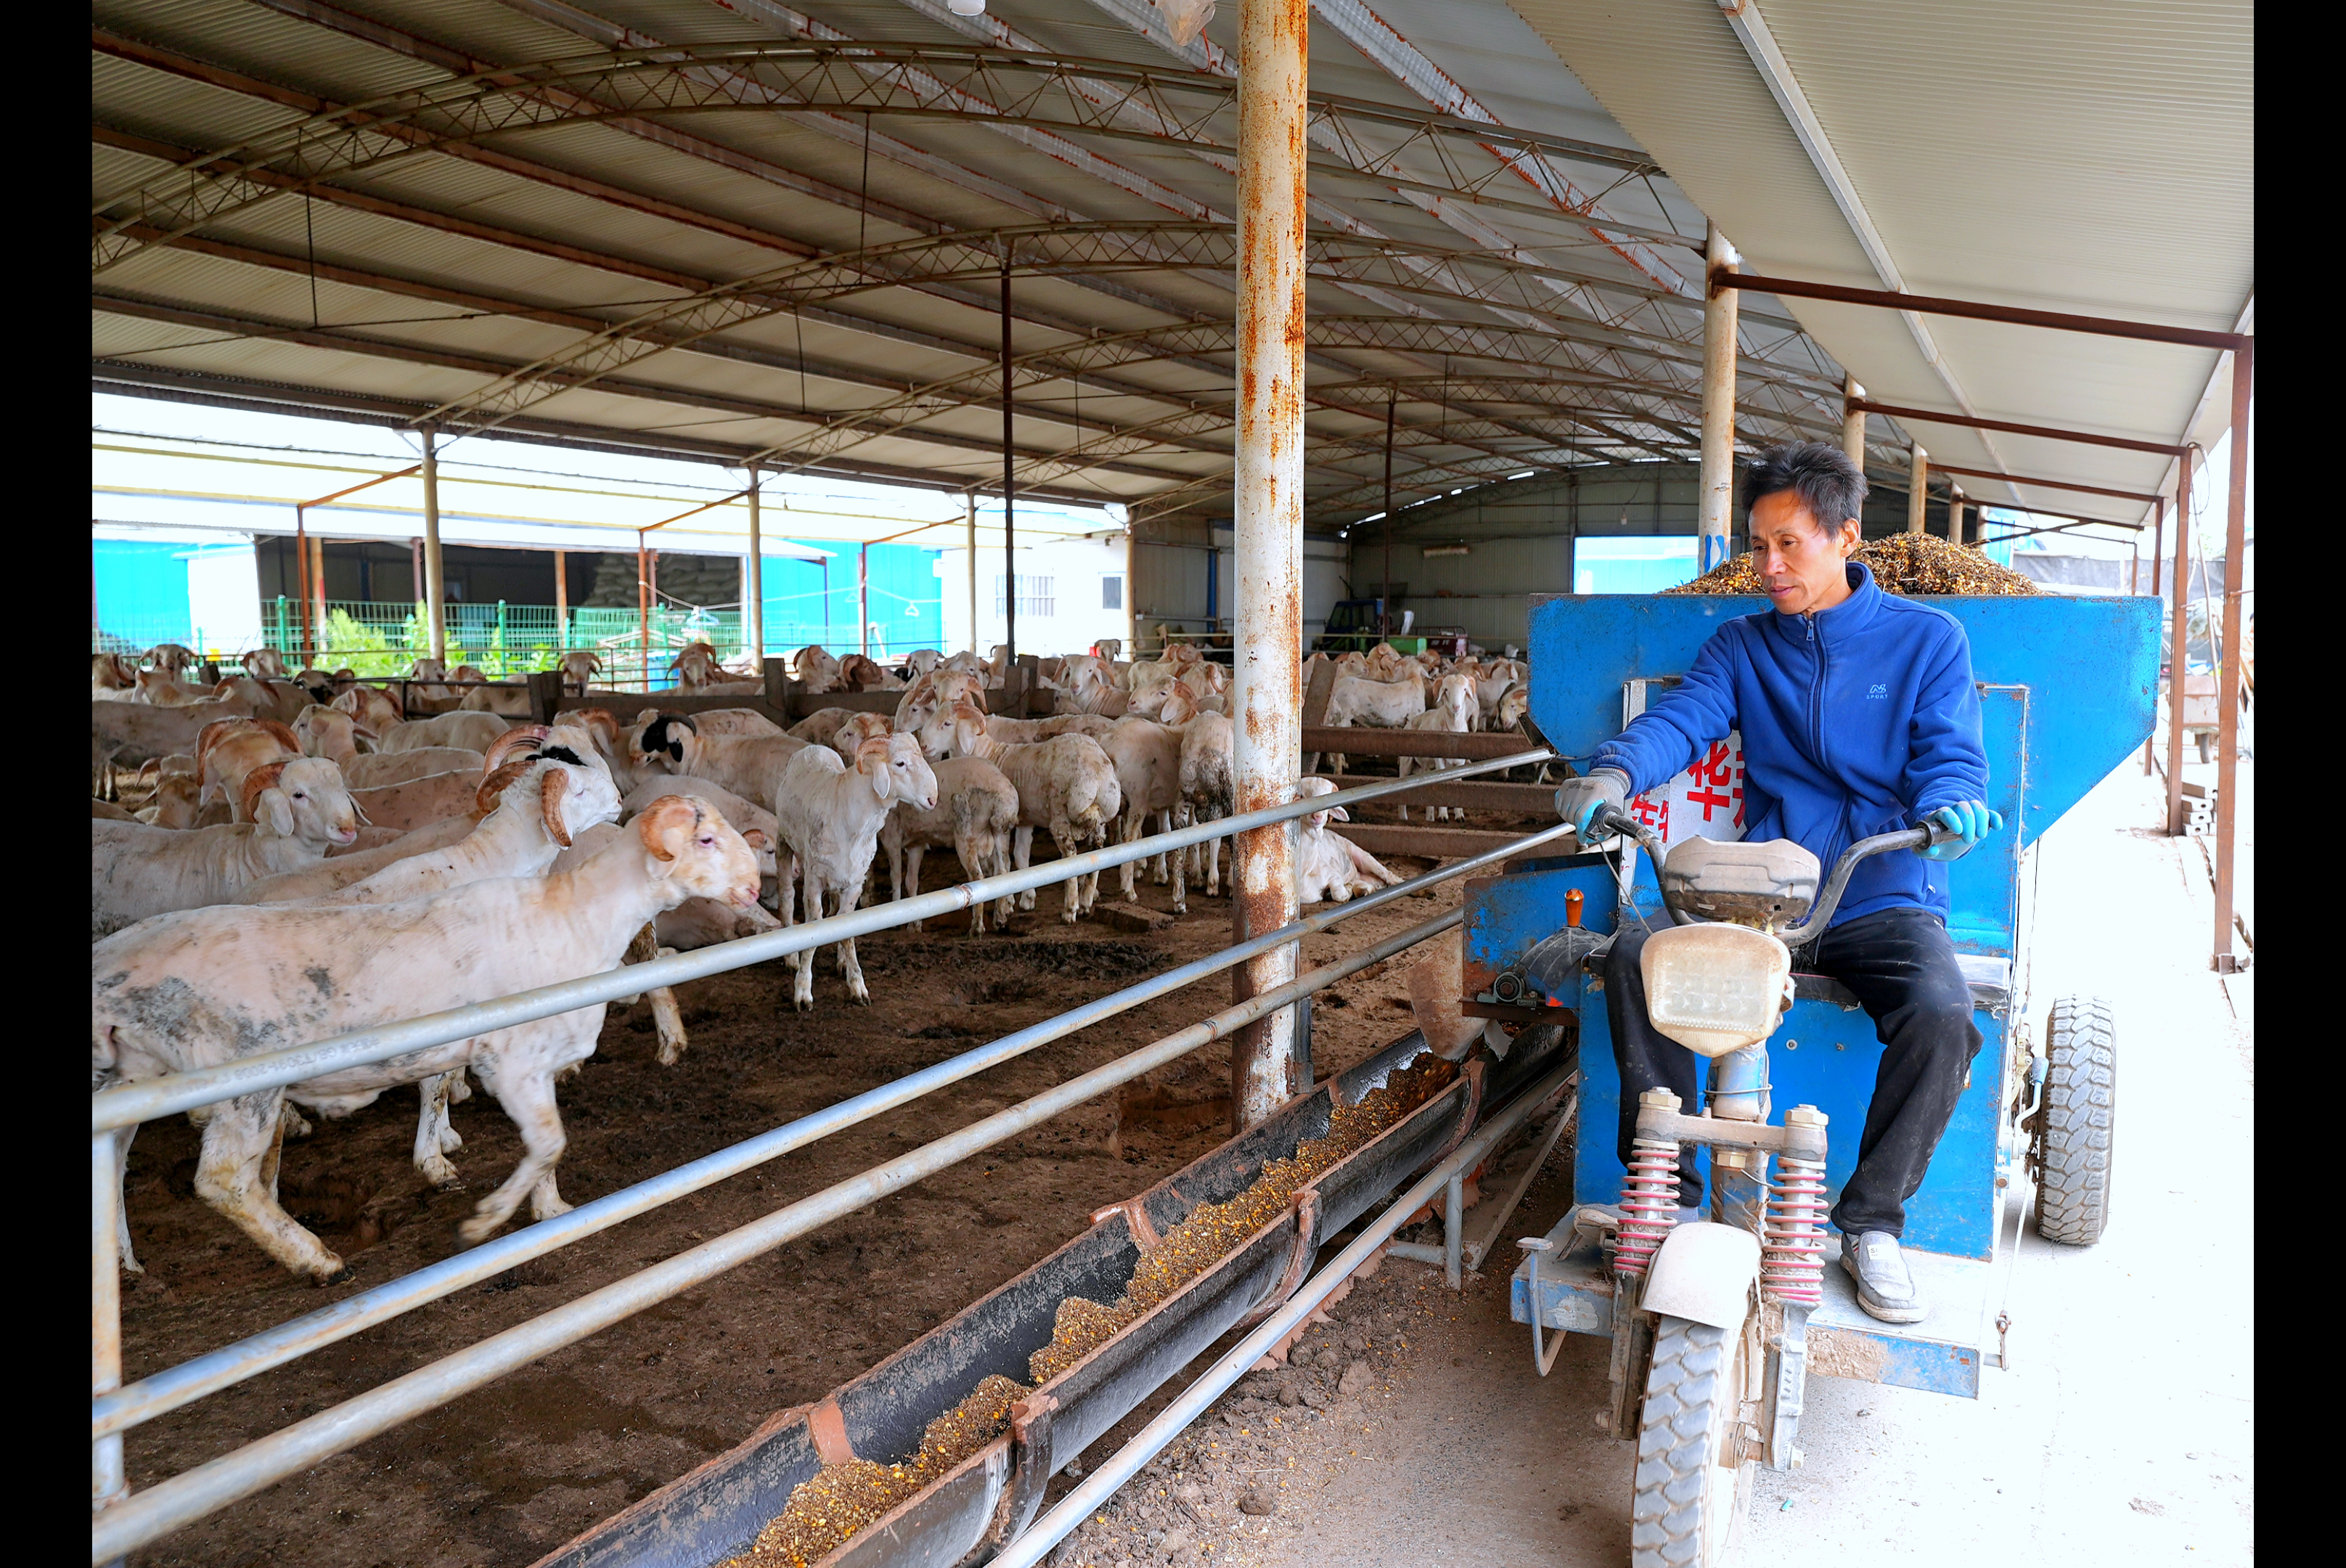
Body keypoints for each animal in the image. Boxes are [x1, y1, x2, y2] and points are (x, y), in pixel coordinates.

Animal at [96, 798, 755, 1286]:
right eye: (704, 840)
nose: (753, 889)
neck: (575, 915)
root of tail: (112, 963)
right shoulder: (510, 1062)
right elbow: (548, 1141)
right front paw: (486, 1220)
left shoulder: (538, 1062)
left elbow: (548, 1146)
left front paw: (551, 1211)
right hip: (239, 1080)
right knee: (224, 1179)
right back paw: (316, 1258)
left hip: (132, 1078)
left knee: (117, 1167)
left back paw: (125, 1262)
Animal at [779, 727, 943, 1009]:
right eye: (900, 763)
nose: (933, 799)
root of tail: (813, 748)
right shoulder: (813, 880)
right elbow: (812, 931)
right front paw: (803, 991)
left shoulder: (855, 882)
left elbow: (847, 932)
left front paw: (856, 985)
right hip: (783, 841)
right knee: (788, 897)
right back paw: (791, 957)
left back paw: (840, 962)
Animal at [882, 756, 1018, 929]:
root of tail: (1003, 795)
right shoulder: (916, 843)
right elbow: (911, 881)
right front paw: (914, 923)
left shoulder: (891, 836)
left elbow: (896, 877)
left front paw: (896, 916)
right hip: (1001, 833)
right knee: (1002, 871)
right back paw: (999, 917)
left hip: (967, 833)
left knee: (977, 876)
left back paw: (977, 927)